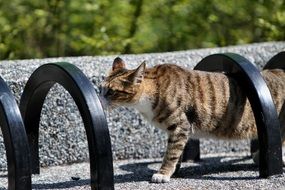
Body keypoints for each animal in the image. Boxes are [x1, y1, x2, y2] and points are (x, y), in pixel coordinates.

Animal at [99, 57, 284, 183]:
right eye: (100, 89)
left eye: (110, 92)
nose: (99, 100)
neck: (153, 90)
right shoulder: (178, 131)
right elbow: (177, 152)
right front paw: (175, 170)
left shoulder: (180, 125)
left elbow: (171, 153)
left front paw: (163, 173)